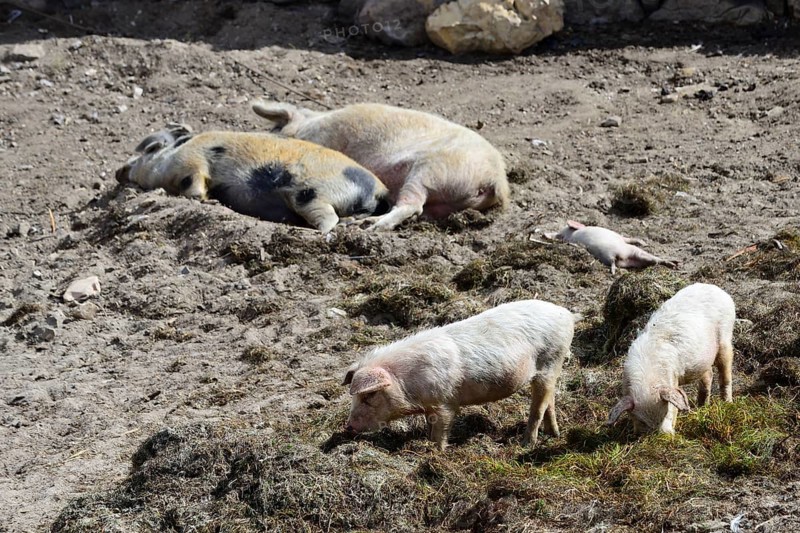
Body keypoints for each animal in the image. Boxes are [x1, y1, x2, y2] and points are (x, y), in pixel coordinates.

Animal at [116, 124, 390, 233]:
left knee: (328, 218)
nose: (119, 171)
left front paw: (207, 199)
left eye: (148, 151)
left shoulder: (192, 163)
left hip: (311, 194)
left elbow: (195, 187)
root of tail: (378, 189)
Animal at [342, 300, 578, 449]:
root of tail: (567, 314)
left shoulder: (444, 401)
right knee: (549, 402)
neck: (406, 381)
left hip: (551, 360)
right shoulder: (429, 405)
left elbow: (441, 430)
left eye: (369, 395)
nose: (348, 427)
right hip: (551, 370)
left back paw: (526, 444)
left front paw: (435, 451)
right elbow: (429, 426)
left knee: (538, 408)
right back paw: (554, 434)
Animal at [546, 220, 677, 274]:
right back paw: (674, 263)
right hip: (625, 251)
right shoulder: (619, 237)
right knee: (652, 259)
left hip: (627, 256)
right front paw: (644, 242)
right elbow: (629, 238)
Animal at [607, 283, 736, 434]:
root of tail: (716, 289)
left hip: (725, 337)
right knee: (708, 375)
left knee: (725, 374)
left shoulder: (672, 378)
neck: (648, 375)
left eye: (666, 410)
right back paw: (701, 406)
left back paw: (727, 403)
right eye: (642, 422)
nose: (665, 435)